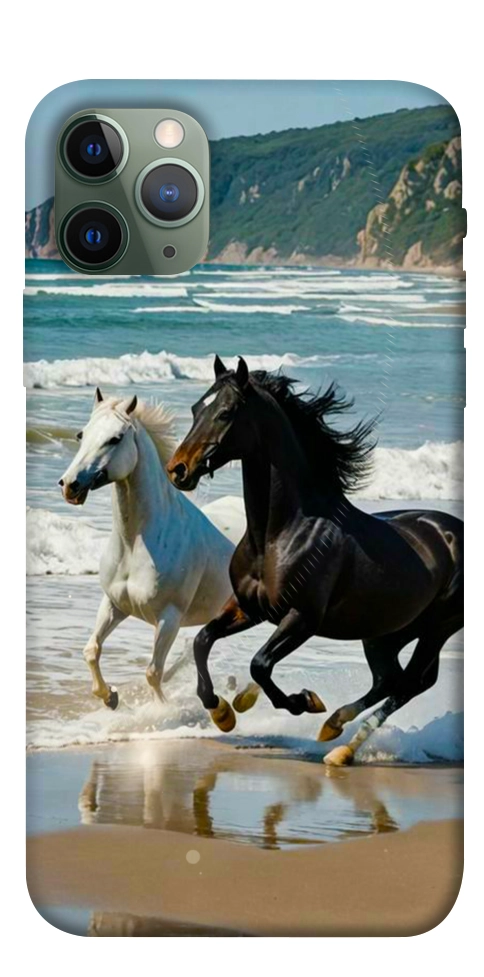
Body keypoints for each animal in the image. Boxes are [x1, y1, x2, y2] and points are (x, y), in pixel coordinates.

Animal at [59, 388, 234, 709]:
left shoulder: (169, 618)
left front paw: (161, 711)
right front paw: (110, 697)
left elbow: (153, 672)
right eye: (81, 434)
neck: (135, 544)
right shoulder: (114, 604)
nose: (69, 485)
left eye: (115, 438)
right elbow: (91, 650)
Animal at [166, 356, 463, 765]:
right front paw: (223, 711)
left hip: (437, 628)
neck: (279, 534)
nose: (177, 469)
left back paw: (341, 746)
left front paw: (302, 701)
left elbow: (260, 664)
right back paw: (334, 729)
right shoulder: (248, 608)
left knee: (410, 683)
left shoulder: (302, 618)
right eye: (197, 408)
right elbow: (202, 640)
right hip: (386, 632)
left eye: (225, 413)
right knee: (390, 679)